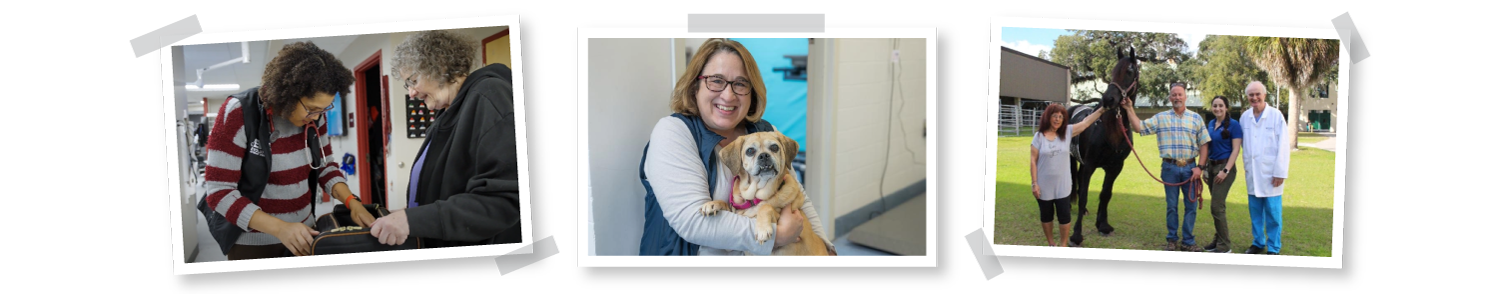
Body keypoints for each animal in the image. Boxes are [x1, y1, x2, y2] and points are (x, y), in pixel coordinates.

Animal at [693, 131, 828, 255]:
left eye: (774, 147)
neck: (755, 197)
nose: (764, 156)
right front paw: (712, 204)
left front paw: (762, 229)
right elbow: (726, 204)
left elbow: (766, 207)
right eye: (750, 151)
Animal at [1068, 47, 1134, 247]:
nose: (1108, 99)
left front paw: (1103, 225)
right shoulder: (1090, 165)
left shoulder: (1115, 167)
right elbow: (1083, 196)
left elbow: (1106, 194)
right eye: (1112, 71)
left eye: (1129, 71)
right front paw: (1076, 235)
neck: (1111, 129)